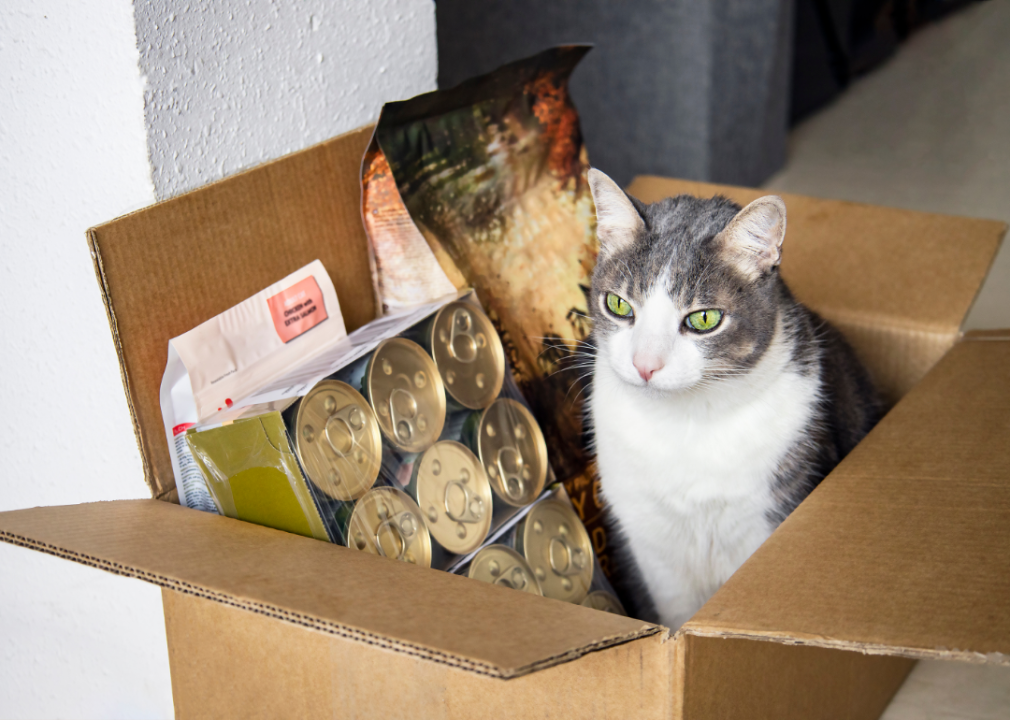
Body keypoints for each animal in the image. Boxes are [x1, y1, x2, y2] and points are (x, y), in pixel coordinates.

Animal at [589, 168, 880, 630]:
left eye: (704, 319)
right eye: (618, 305)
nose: (645, 365)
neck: (684, 422)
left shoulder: (769, 517)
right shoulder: (650, 543)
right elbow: (675, 611)